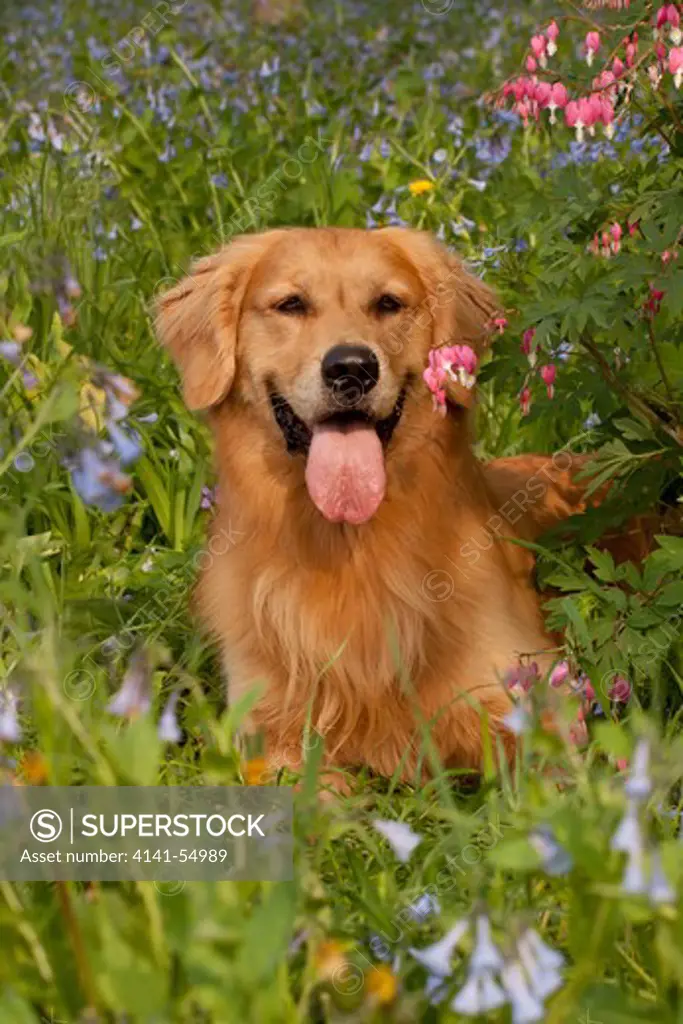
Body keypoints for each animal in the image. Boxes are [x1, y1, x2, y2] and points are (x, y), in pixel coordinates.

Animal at [156, 226, 598, 782]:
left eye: (388, 303)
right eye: (291, 304)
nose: (352, 367)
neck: (351, 548)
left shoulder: (524, 693)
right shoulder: (269, 729)